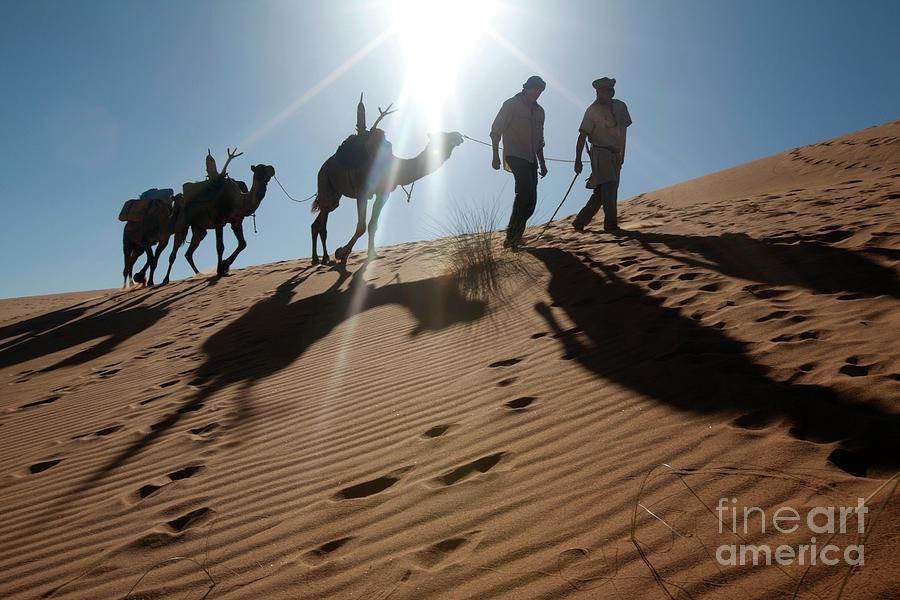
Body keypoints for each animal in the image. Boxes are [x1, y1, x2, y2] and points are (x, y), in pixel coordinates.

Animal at [161, 146, 274, 284]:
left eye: (267, 168)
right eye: (259, 170)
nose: (271, 170)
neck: (238, 200)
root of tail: (179, 200)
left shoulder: (236, 222)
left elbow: (243, 244)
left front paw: (225, 266)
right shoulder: (218, 221)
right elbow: (220, 247)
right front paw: (221, 270)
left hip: (199, 229)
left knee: (189, 252)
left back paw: (199, 274)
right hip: (182, 224)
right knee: (174, 251)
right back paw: (165, 280)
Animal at [312, 95, 464, 264]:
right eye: (442, 135)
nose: (458, 135)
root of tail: (324, 165)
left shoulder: (383, 193)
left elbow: (373, 225)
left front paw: (372, 255)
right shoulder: (362, 191)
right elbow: (361, 226)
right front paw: (341, 253)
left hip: (335, 195)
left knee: (318, 221)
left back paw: (317, 259)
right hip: (324, 181)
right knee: (322, 225)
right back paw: (324, 259)